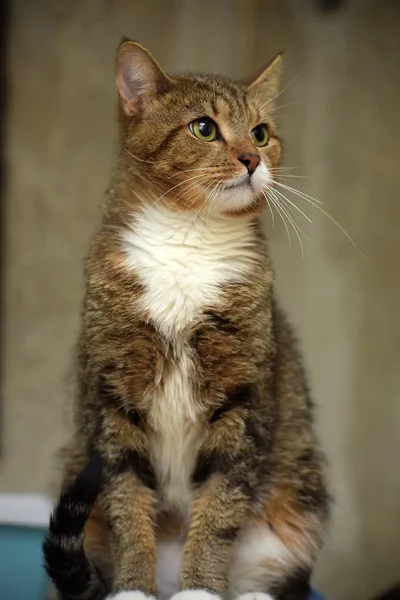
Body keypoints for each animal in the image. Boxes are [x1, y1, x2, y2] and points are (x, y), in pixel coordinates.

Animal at [44, 39, 332, 600]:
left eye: (261, 133)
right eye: (204, 128)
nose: (252, 158)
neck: (189, 238)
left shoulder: (244, 397)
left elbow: (221, 503)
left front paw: (200, 588)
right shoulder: (113, 395)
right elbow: (126, 502)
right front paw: (132, 589)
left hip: (294, 502)